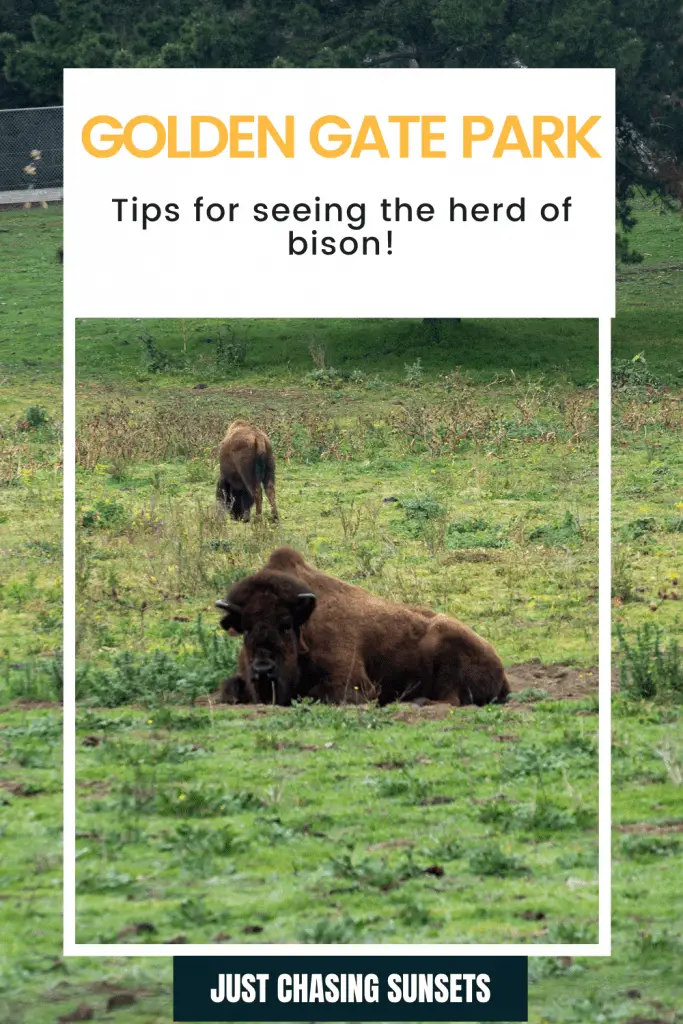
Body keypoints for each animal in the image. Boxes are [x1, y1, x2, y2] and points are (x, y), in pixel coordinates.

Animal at [216, 548, 509, 708]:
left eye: (286, 625)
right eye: (245, 629)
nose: (263, 669)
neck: (306, 624)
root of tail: (499, 665)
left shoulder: (354, 686)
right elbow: (228, 688)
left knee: (450, 700)